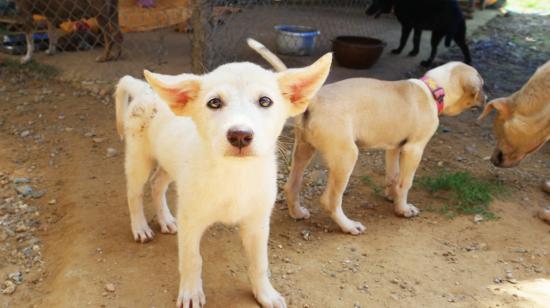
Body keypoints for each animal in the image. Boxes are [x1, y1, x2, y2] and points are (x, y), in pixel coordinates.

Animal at [116, 54, 332, 306]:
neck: (234, 175)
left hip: (169, 162)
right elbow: (192, 260)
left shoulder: (257, 223)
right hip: (138, 158)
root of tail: (143, 89)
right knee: (134, 194)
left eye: (265, 101)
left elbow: (259, 263)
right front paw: (190, 293)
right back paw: (140, 227)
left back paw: (166, 220)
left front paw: (265, 294)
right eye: (214, 103)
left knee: (157, 184)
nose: (240, 135)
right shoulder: (191, 220)